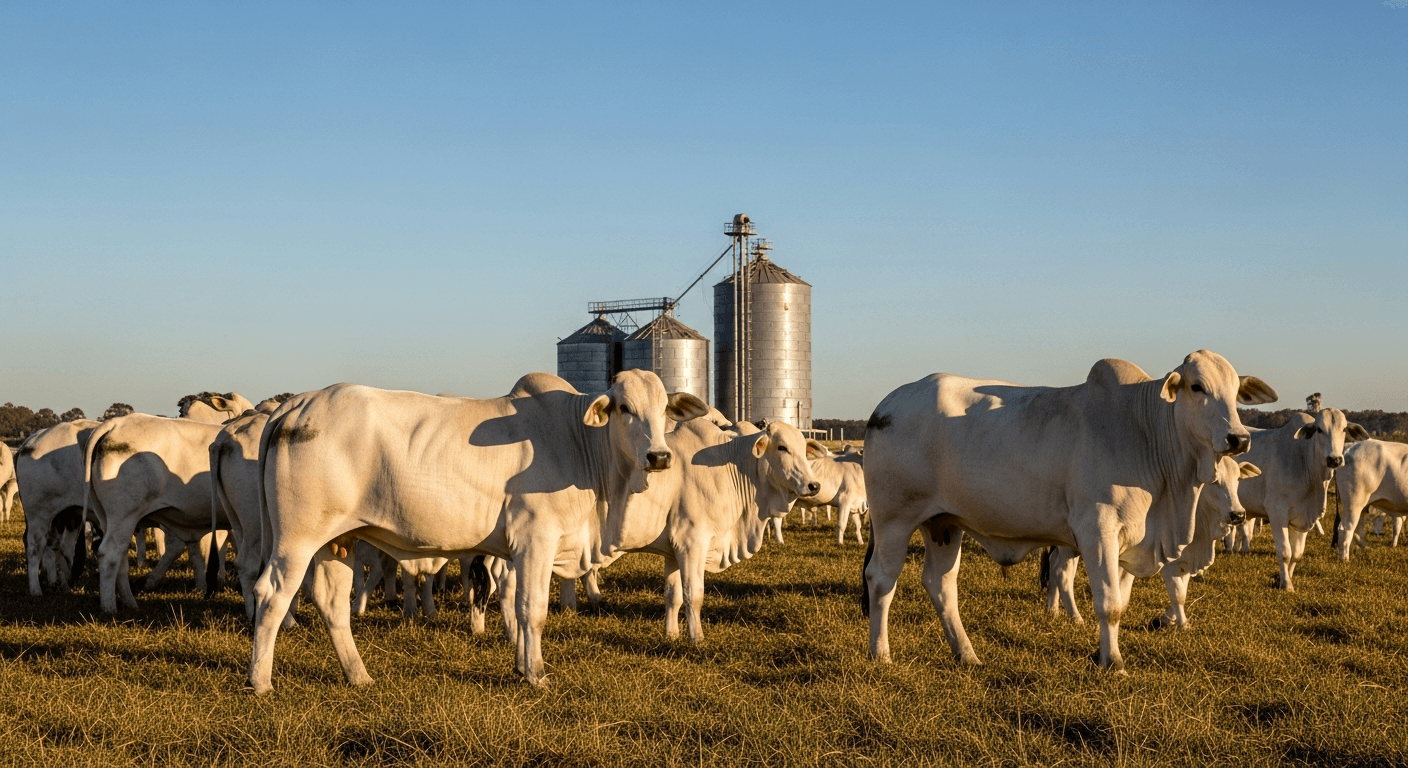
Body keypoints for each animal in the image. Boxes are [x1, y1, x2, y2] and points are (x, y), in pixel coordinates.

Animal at [15, 420, 100, 595]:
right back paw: (36, 590)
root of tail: (29, 443)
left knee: (58, 546)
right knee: (35, 546)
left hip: (66, 515)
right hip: (40, 514)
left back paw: (59, 582)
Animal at [247, 370, 708, 693]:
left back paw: (358, 676)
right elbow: (532, 610)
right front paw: (537, 675)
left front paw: (521, 666)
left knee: (331, 602)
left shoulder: (516, 550)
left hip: (337, 540)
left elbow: (515, 606)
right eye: (625, 408)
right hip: (297, 539)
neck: (579, 443)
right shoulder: (537, 540)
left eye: (664, 410)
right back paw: (260, 682)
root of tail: (297, 403)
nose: (659, 456)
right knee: (272, 594)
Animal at [1043, 455, 1262, 629]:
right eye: (1214, 481)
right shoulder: (1170, 562)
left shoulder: (1186, 561)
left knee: (1053, 567)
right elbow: (1179, 593)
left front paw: (1166, 619)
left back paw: (1052, 609)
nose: (1238, 514)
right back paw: (1076, 617)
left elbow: (1183, 589)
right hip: (1071, 546)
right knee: (1063, 574)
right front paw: (1183, 624)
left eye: (1238, 479)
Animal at [1237, 407, 1368, 591]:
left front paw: (1284, 579)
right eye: (1319, 429)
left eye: (1343, 429)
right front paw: (1287, 585)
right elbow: (1285, 552)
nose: (1334, 459)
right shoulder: (1277, 512)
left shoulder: (1303, 517)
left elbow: (1297, 553)